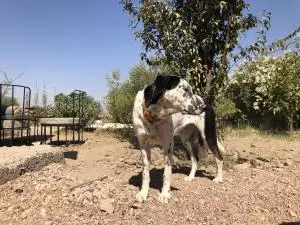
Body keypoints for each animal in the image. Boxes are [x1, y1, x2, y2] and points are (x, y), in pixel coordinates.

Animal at [132, 75, 224, 204]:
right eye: (186, 89)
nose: (204, 107)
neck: (154, 117)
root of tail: (207, 102)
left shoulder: (168, 144)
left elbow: (167, 173)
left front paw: (165, 194)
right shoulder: (143, 144)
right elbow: (145, 173)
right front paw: (143, 193)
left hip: (208, 136)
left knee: (219, 157)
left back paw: (218, 178)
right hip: (186, 140)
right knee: (195, 159)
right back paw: (191, 177)